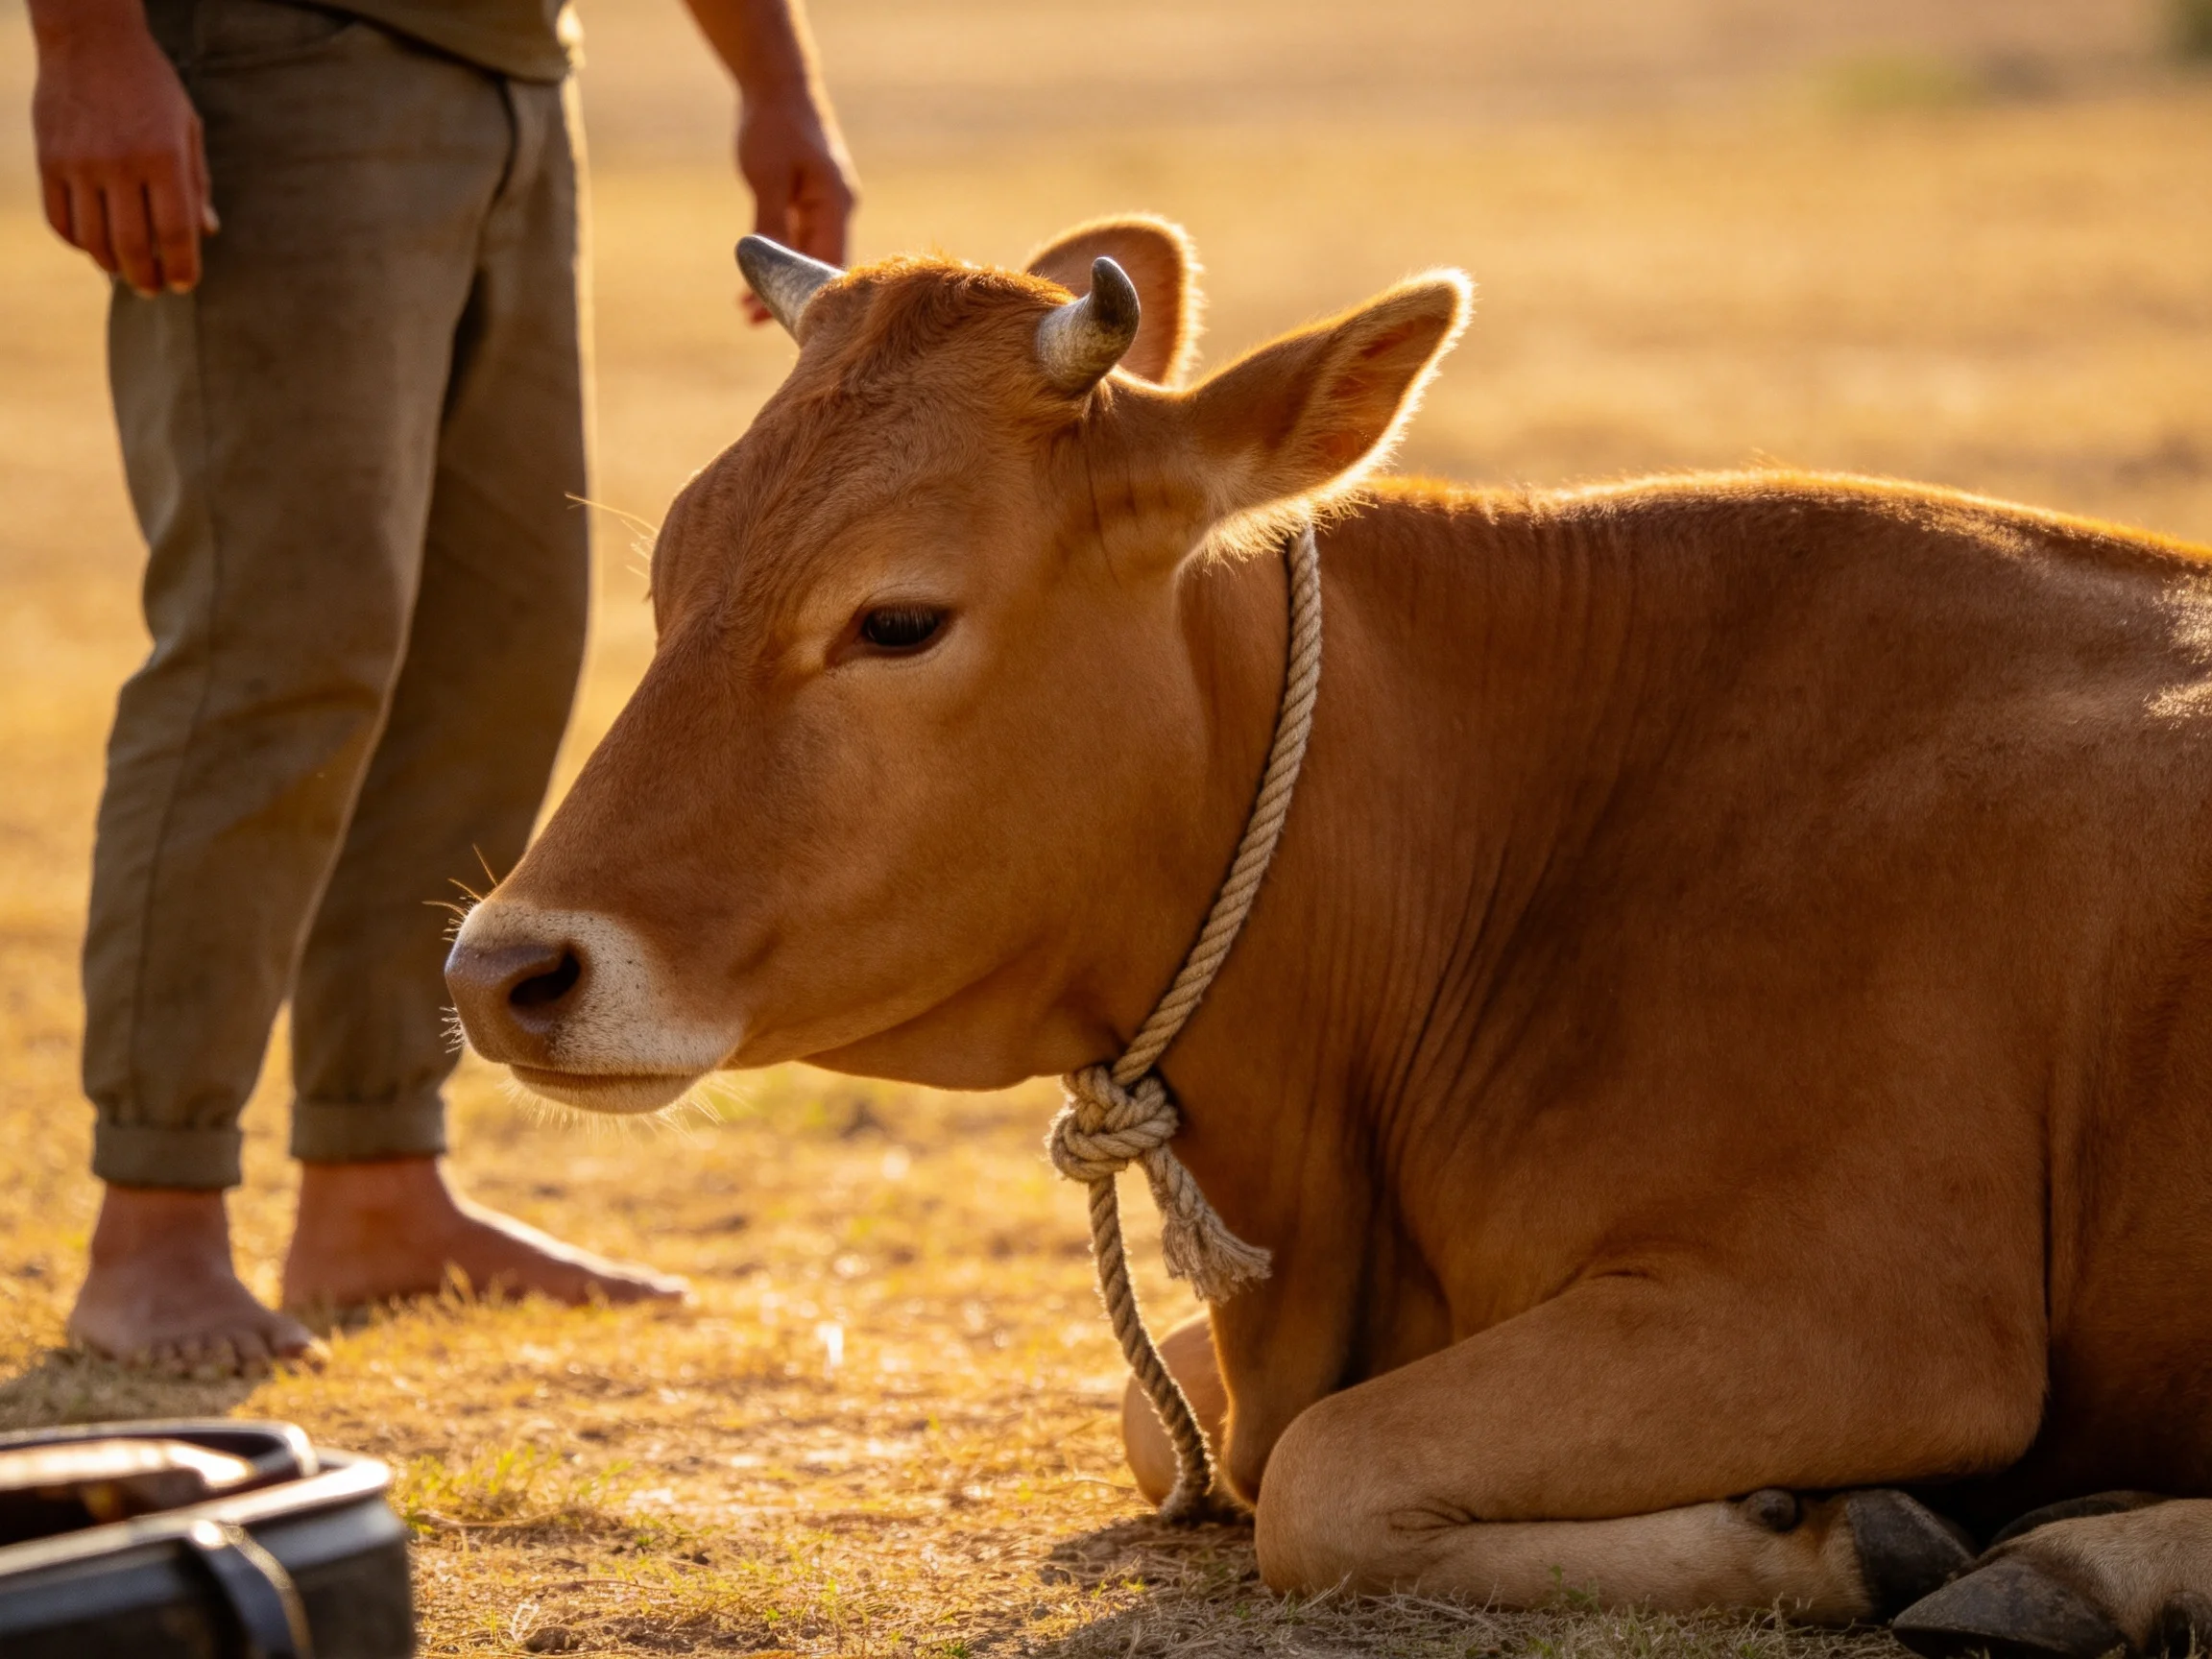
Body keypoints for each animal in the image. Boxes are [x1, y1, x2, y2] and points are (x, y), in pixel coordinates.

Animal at [446, 216, 2212, 1652]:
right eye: (667, 582)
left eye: (896, 618)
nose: (501, 970)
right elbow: (1165, 1413)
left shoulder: (1871, 1312)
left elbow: (1322, 1473)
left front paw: (1862, 1530)